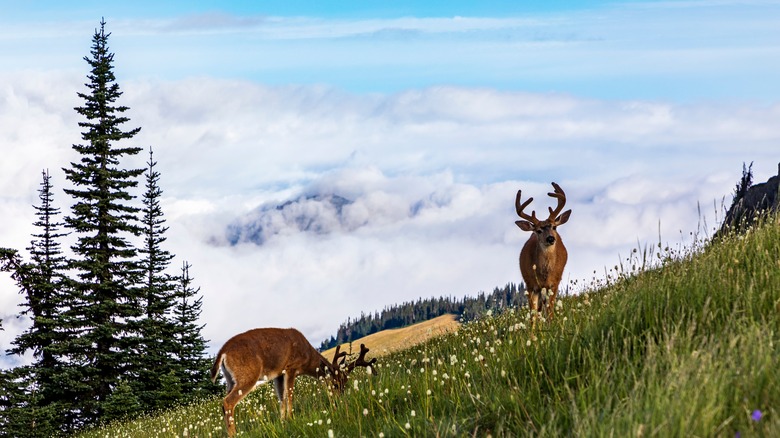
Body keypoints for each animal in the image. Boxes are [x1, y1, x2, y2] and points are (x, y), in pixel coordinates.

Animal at [210, 326, 374, 436]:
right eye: (335, 383)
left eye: (344, 384)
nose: (340, 399)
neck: (307, 357)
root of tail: (222, 352)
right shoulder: (291, 367)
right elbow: (289, 394)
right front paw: (291, 418)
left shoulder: (279, 374)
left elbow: (281, 398)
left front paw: (283, 422)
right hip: (248, 375)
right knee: (228, 402)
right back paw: (233, 434)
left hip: (230, 380)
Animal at [516, 181, 568, 322]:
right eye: (538, 230)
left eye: (554, 227)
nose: (551, 238)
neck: (544, 274)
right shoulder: (531, 285)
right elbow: (533, 315)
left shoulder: (554, 283)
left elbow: (550, 312)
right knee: (538, 310)